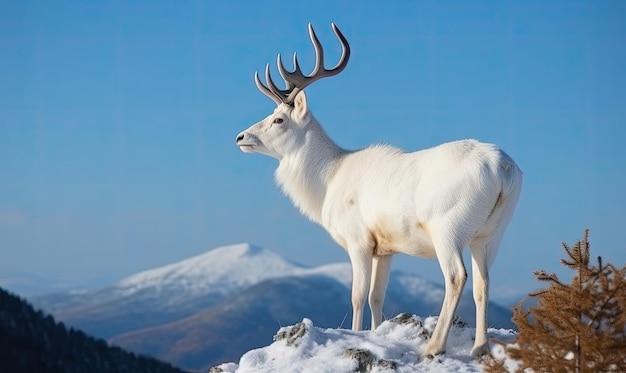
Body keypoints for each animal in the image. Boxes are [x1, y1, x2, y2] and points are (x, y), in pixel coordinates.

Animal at [234, 24, 520, 358]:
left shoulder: (358, 239)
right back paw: (480, 347)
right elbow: (377, 296)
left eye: (279, 119)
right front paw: (376, 334)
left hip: (448, 227)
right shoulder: (385, 247)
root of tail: (504, 170)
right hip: (491, 234)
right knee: (483, 283)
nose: (241, 137)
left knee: (456, 276)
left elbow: (358, 295)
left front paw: (357, 334)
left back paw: (434, 346)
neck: (327, 182)